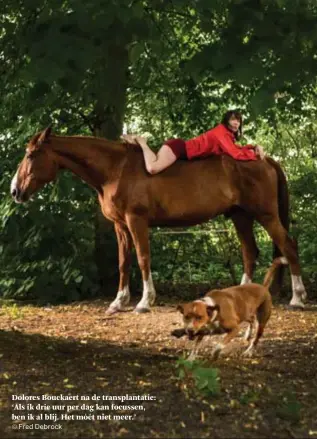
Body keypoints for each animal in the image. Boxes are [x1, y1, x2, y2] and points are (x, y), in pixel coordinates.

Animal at [11, 127, 304, 312]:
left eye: (31, 155)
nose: (15, 191)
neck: (115, 169)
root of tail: (264, 159)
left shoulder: (136, 221)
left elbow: (143, 258)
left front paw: (144, 302)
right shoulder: (120, 226)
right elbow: (123, 262)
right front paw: (119, 302)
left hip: (266, 215)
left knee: (288, 247)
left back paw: (297, 299)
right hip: (240, 216)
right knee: (249, 252)